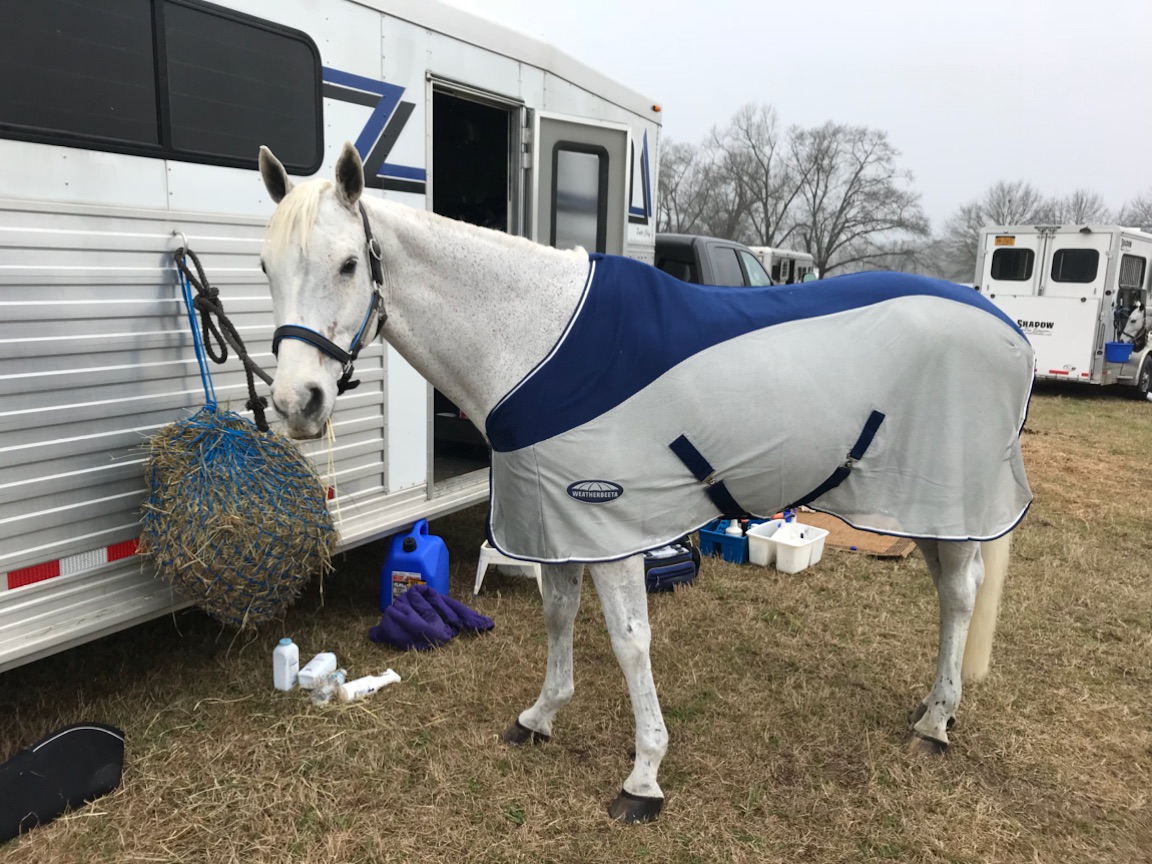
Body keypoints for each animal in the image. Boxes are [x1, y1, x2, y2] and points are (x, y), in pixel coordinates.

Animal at [256, 144, 1032, 824]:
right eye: (265, 267)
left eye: (349, 264)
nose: (297, 404)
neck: (534, 341)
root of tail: (1010, 328)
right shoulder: (555, 524)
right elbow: (557, 617)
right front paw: (539, 717)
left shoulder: (610, 525)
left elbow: (631, 642)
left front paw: (644, 778)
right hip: (930, 512)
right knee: (949, 596)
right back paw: (936, 708)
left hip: (947, 500)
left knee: (961, 595)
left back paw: (935, 724)